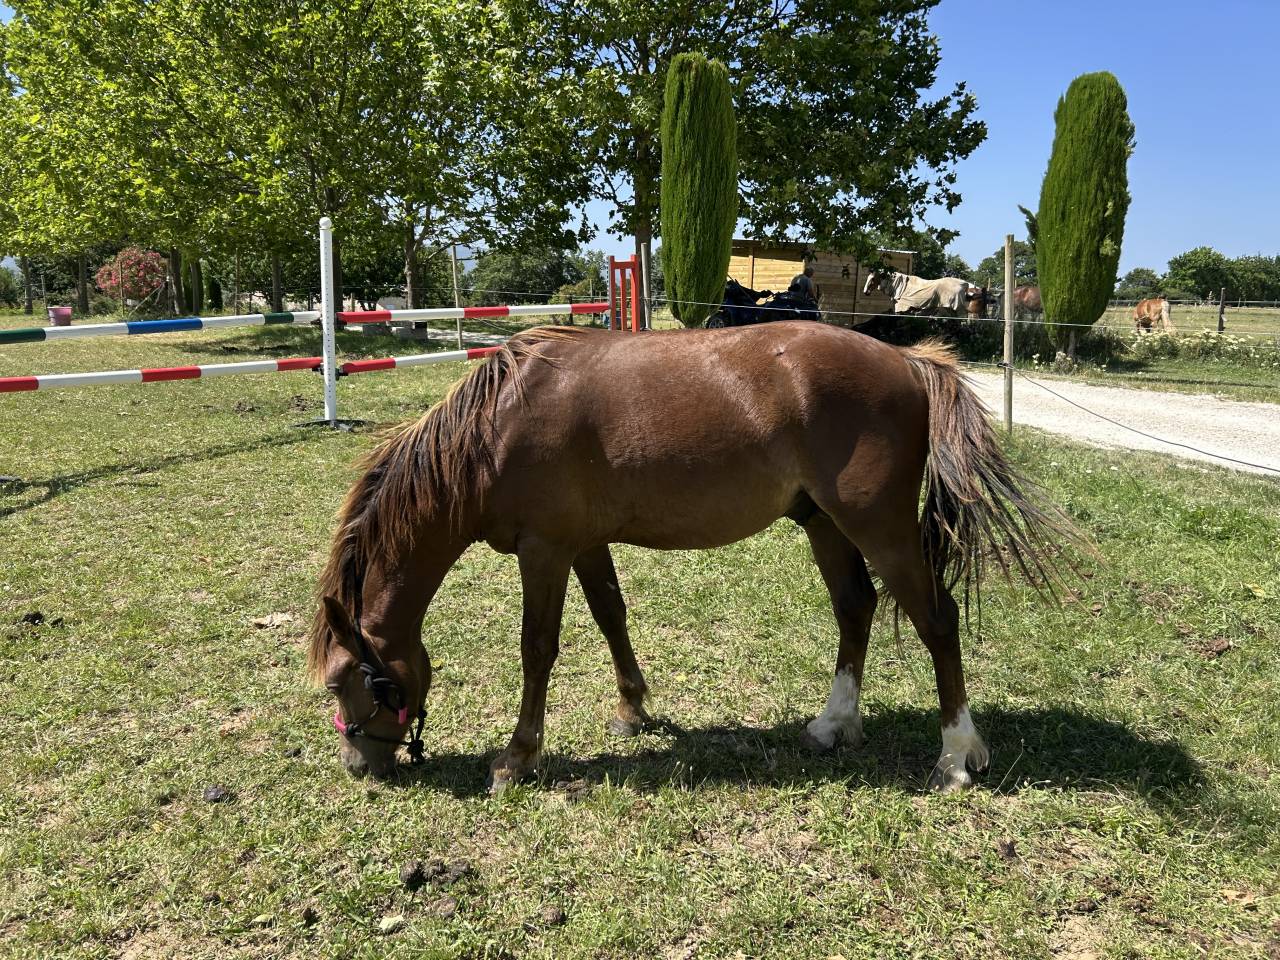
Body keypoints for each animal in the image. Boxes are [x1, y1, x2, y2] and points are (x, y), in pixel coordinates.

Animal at [307, 324, 1074, 795]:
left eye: (345, 681)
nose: (355, 764)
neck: (497, 426)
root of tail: (909, 361)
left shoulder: (544, 550)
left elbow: (538, 648)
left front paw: (517, 757)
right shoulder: (584, 544)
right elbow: (611, 616)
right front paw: (633, 708)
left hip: (878, 529)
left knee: (937, 621)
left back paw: (957, 755)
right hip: (825, 524)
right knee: (855, 608)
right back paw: (834, 724)